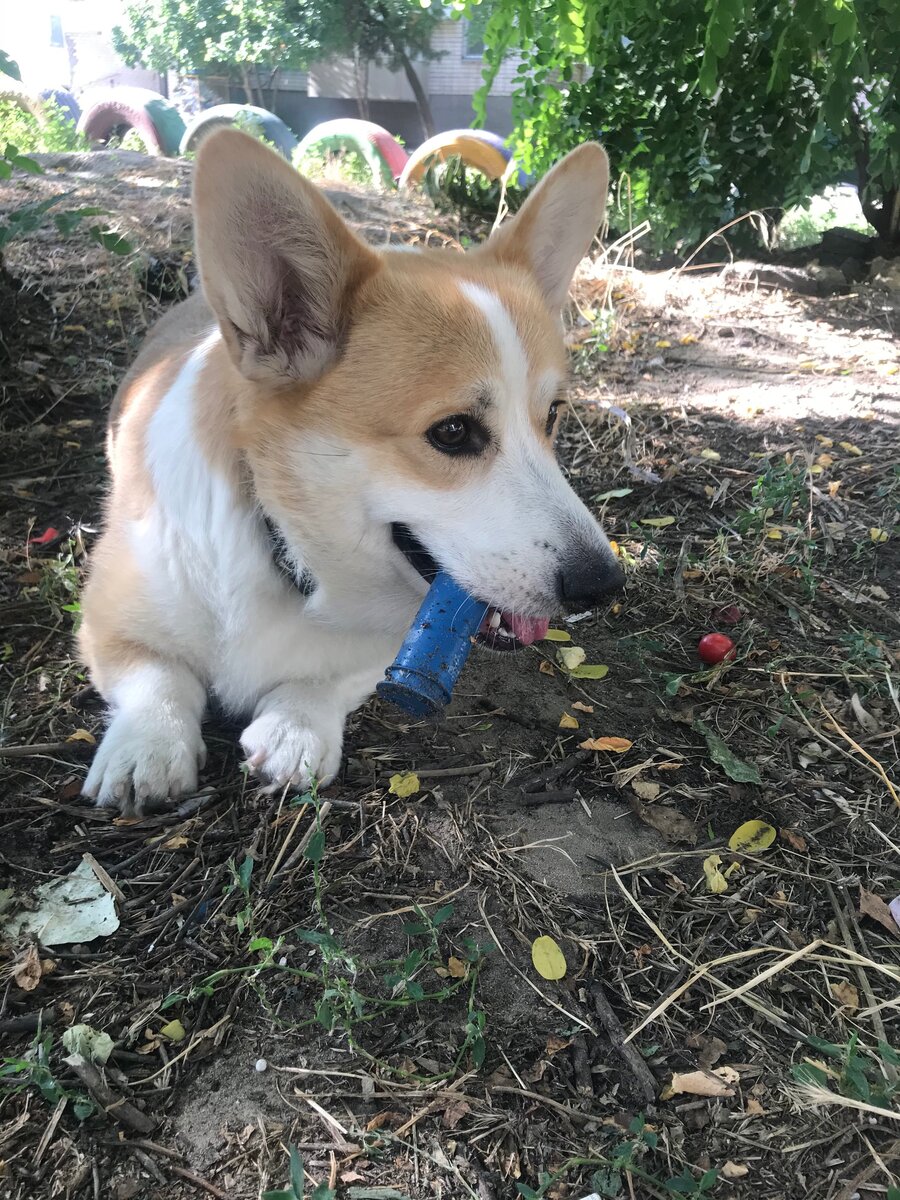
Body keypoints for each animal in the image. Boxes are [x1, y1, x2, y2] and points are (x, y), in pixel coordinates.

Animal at [81, 126, 624, 811]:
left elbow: (325, 680)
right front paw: (146, 748)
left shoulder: (381, 650)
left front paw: (295, 727)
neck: (286, 551)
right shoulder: (104, 616)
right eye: (453, 432)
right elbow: (156, 675)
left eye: (552, 415)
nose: (605, 585)